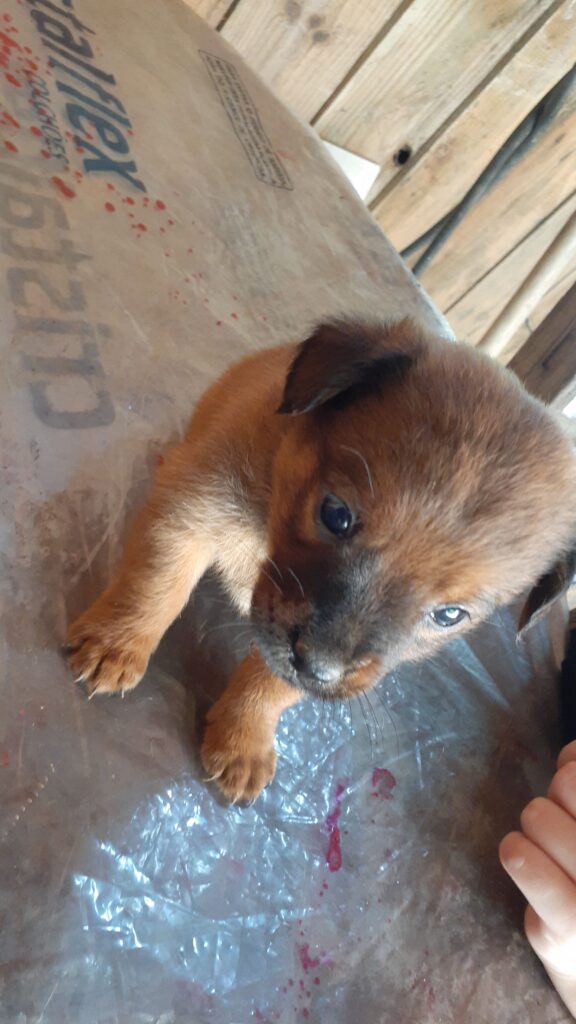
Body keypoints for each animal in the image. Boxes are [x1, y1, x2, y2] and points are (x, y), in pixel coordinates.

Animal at [66, 319, 573, 798]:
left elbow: (274, 684)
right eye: (336, 515)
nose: (320, 667)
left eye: (449, 615)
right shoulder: (192, 512)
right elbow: (156, 585)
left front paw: (244, 738)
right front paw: (118, 643)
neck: (267, 529)